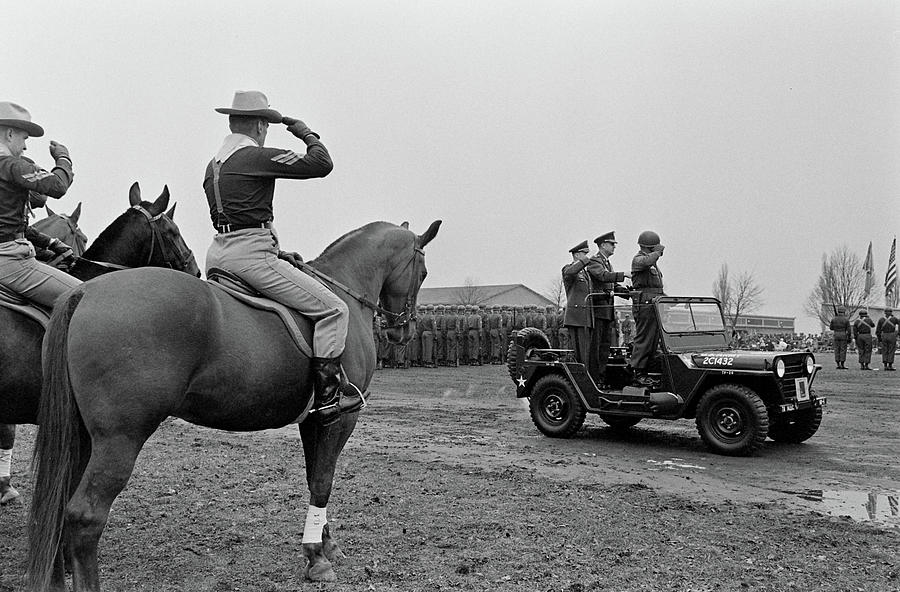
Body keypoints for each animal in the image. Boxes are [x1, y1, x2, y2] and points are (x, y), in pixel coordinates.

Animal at [24, 219, 440, 592]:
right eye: (422, 272)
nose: (404, 329)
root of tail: (85, 293)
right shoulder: (339, 419)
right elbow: (323, 481)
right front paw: (317, 557)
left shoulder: (313, 421)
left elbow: (314, 477)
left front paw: (325, 544)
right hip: (119, 440)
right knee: (84, 517)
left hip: (81, 437)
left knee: (56, 506)